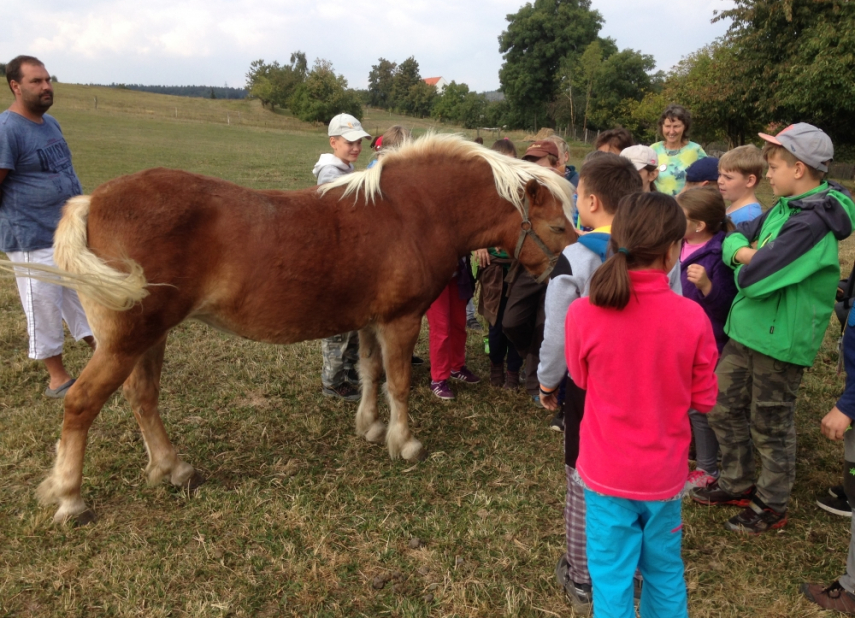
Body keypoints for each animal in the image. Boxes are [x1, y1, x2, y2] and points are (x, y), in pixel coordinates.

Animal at [3, 134, 576, 520]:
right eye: (556, 225)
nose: (565, 272)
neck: (410, 212)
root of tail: (92, 202)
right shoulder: (400, 320)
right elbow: (399, 383)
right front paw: (403, 442)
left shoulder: (370, 321)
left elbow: (370, 374)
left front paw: (369, 427)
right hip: (127, 340)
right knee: (81, 405)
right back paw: (71, 497)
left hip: (149, 338)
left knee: (143, 400)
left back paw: (173, 469)